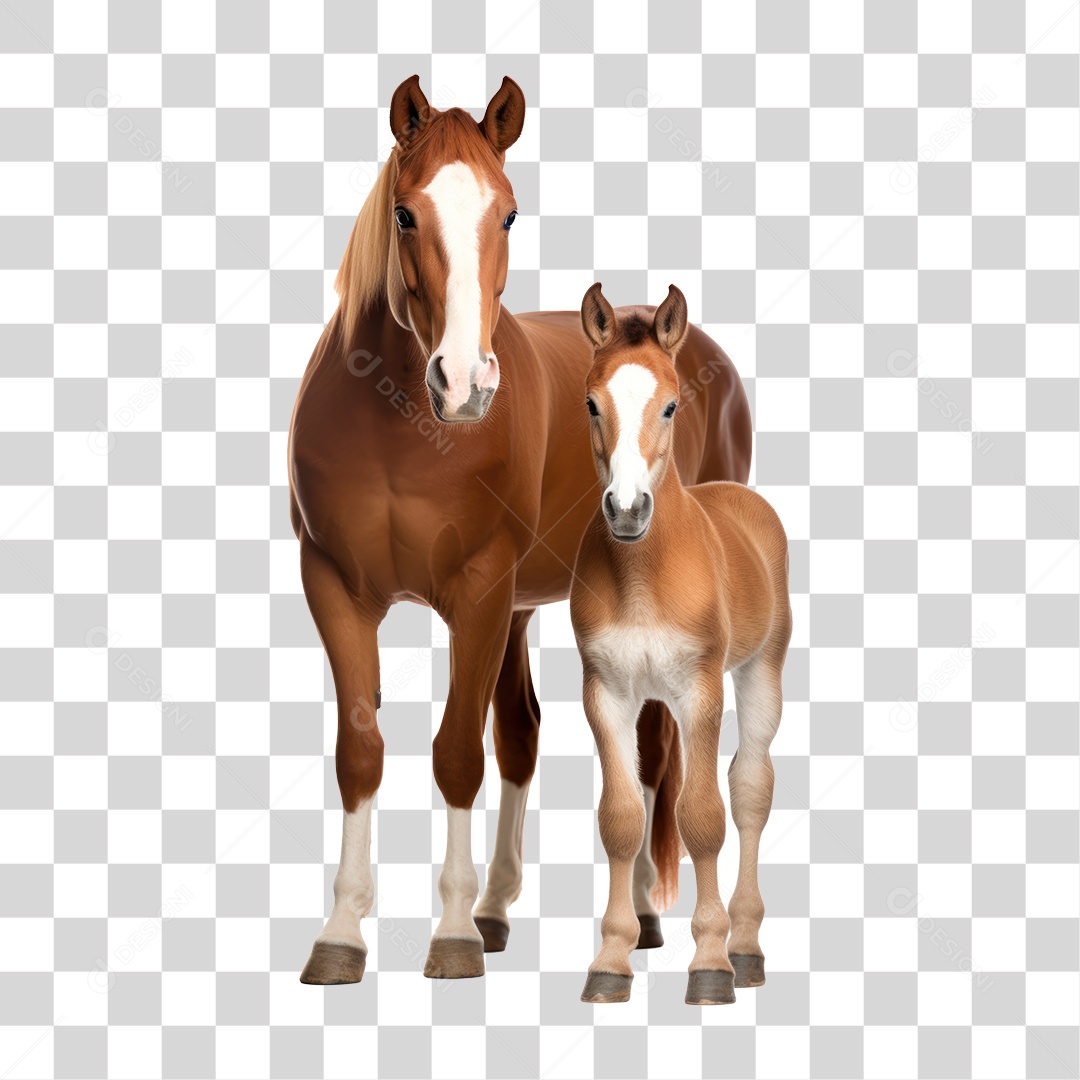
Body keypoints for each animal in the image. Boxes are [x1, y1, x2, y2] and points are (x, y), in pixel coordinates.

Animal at [288, 75, 753, 984]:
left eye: (506, 214)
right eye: (404, 213)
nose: (464, 384)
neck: (398, 428)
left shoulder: (477, 587)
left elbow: (457, 754)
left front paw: (451, 936)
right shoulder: (334, 585)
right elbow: (363, 752)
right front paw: (342, 933)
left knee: (648, 747)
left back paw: (640, 913)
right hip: (518, 608)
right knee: (524, 732)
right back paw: (499, 906)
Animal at [569, 283, 791, 1005]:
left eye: (669, 404)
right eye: (592, 402)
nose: (627, 511)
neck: (644, 574)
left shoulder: (701, 689)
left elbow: (703, 817)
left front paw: (711, 965)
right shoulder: (606, 691)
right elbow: (619, 818)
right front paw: (611, 962)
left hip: (761, 670)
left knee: (749, 789)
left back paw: (746, 949)